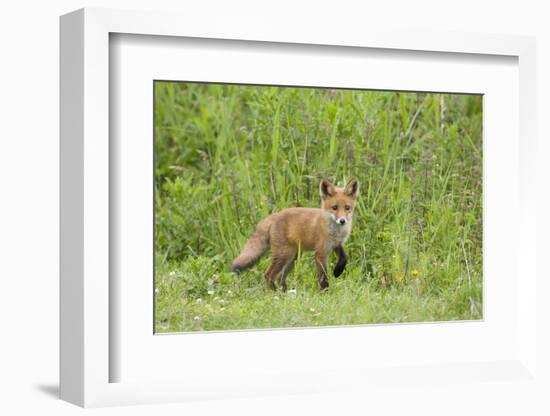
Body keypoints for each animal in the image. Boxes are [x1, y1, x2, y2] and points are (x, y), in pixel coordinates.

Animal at [231, 177, 360, 290]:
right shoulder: (320, 253)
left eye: (347, 207)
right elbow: (323, 278)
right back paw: (275, 294)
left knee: (280, 278)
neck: (335, 232)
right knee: (269, 275)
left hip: (293, 257)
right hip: (284, 254)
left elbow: (344, 257)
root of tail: (274, 215)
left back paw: (285, 294)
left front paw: (338, 271)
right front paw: (325, 293)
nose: (342, 221)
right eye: (334, 207)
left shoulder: (336, 244)